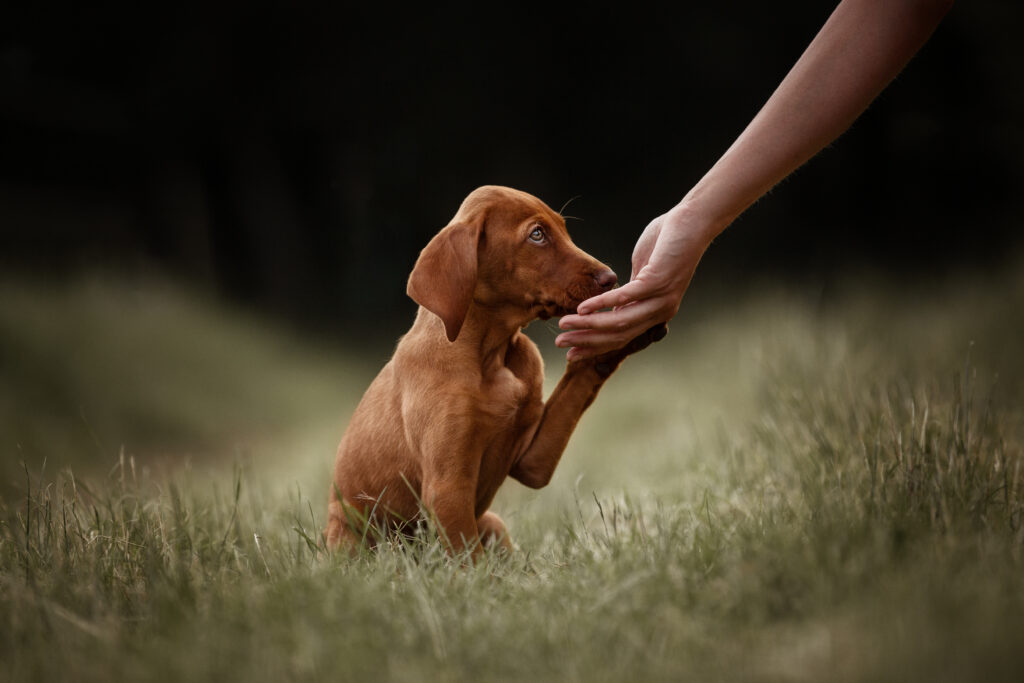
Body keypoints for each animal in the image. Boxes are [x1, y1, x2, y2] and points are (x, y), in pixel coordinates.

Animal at [323, 185, 667, 557]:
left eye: (563, 229)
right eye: (537, 235)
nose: (612, 278)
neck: (492, 353)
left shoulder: (532, 462)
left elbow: (578, 379)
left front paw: (627, 329)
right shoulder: (447, 489)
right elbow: (469, 560)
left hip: (493, 523)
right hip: (356, 540)